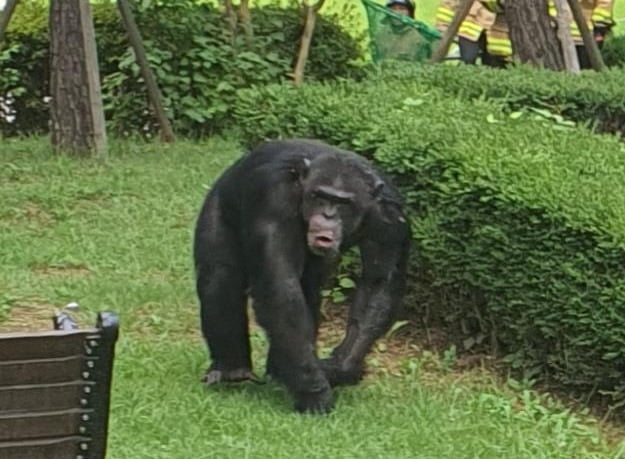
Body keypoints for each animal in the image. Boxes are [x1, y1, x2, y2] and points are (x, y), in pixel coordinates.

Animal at [193, 139, 412, 414]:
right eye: (319, 196)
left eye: (343, 203)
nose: (327, 216)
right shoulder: (273, 200)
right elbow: (281, 288)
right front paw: (314, 392)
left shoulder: (389, 216)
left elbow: (379, 282)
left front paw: (341, 367)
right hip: (219, 203)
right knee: (221, 277)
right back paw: (232, 370)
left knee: (309, 290)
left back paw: (279, 371)